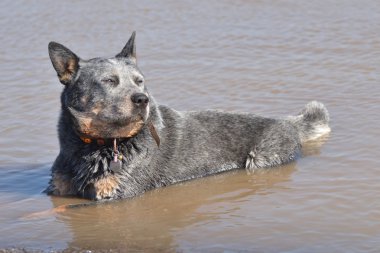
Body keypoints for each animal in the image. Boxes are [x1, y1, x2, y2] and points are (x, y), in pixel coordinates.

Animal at [44, 31, 330, 201]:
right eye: (109, 81)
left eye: (139, 81)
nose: (142, 99)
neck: (95, 147)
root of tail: (286, 122)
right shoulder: (56, 190)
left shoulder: (117, 195)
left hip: (261, 159)